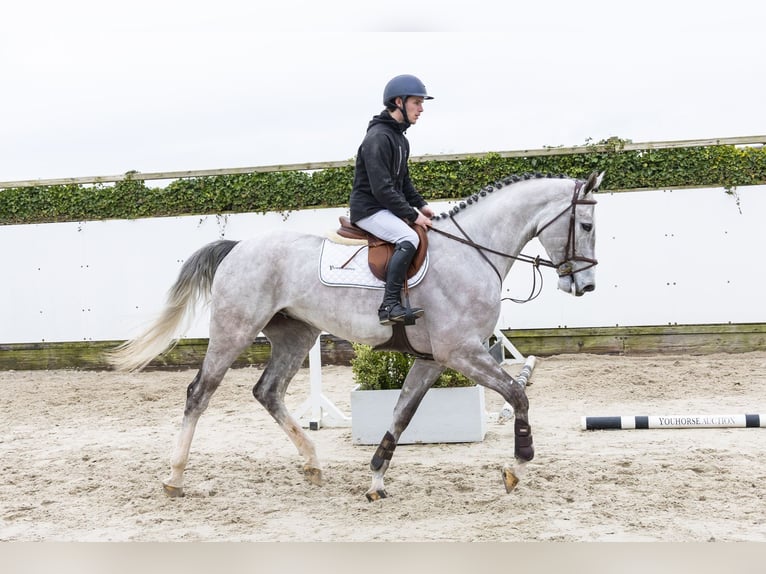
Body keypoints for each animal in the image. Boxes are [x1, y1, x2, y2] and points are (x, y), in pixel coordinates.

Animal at [110, 170, 603, 501]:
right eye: (586, 226)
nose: (585, 286)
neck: (472, 251)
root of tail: (238, 247)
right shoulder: (460, 353)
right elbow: (518, 394)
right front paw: (518, 465)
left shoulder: (434, 359)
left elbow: (402, 414)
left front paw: (376, 478)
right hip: (234, 330)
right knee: (200, 392)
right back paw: (174, 477)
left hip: (296, 336)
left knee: (268, 391)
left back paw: (311, 464)